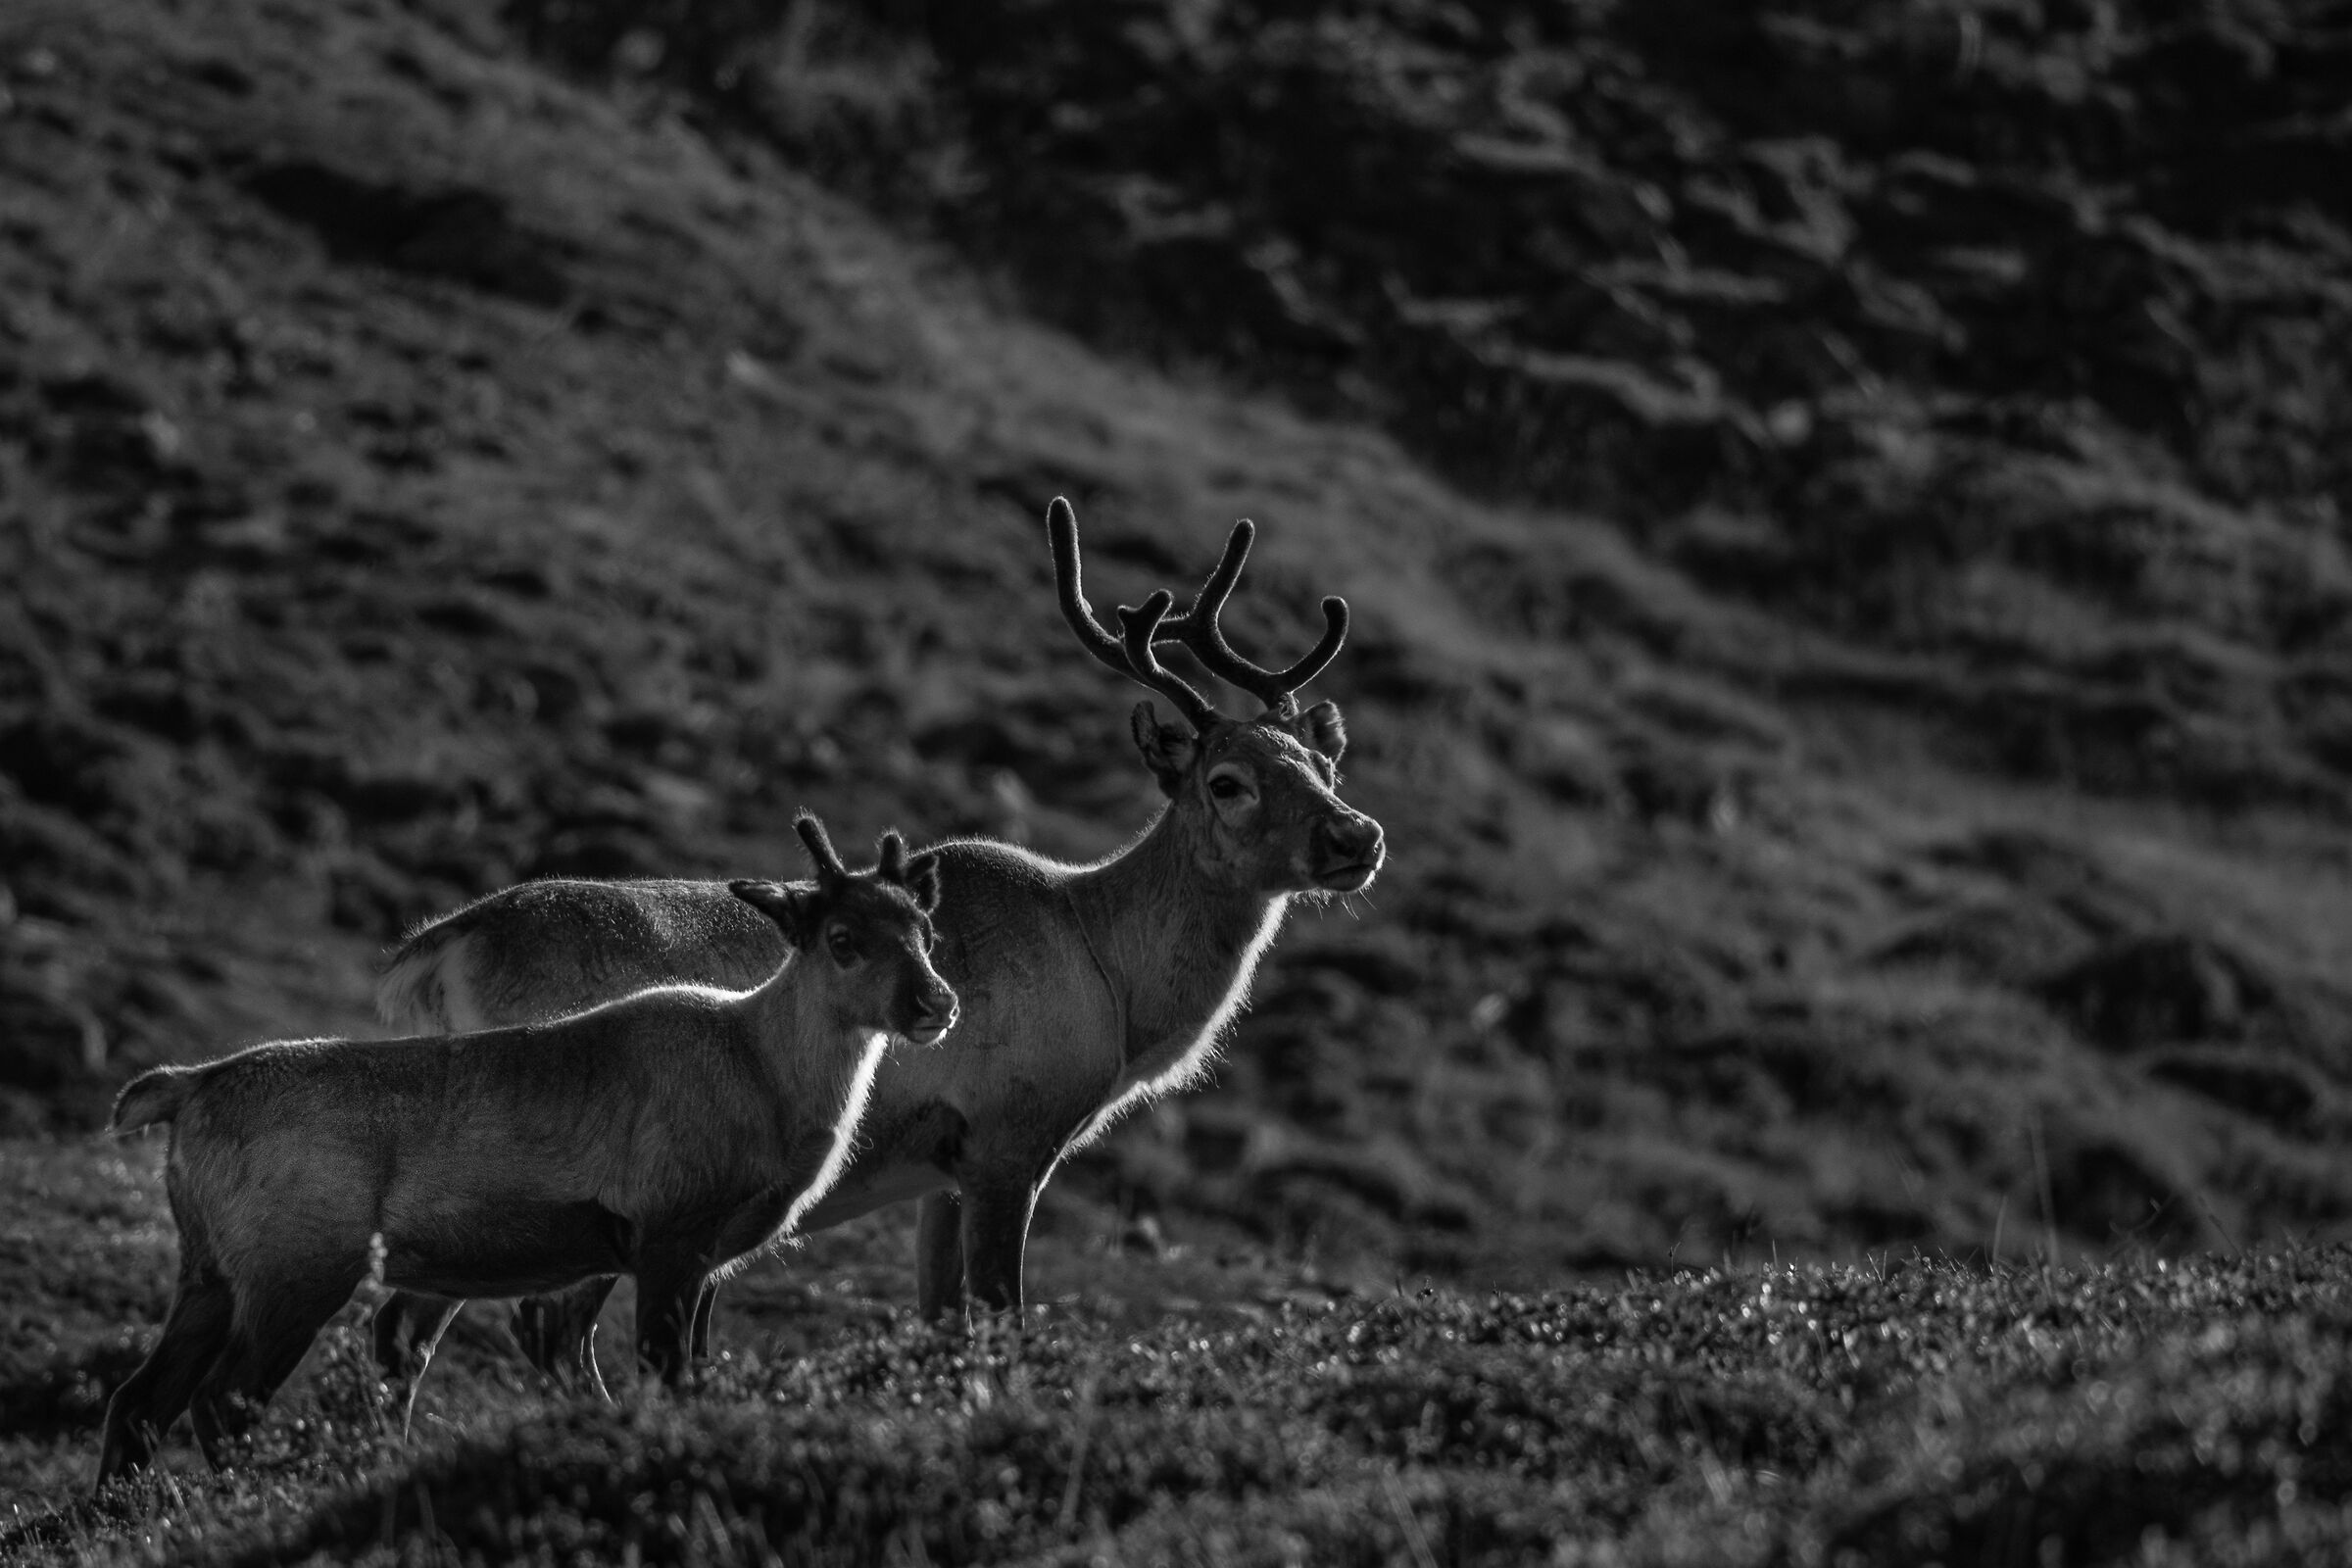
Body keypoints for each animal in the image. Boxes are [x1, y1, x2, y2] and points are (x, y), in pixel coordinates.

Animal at [93, 816, 952, 1488]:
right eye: (842, 939)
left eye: (923, 930)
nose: (936, 1002)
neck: (762, 1068)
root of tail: (189, 1086)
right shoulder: (670, 1244)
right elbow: (666, 1380)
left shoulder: (702, 1258)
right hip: (294, 1274)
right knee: (219, 1404)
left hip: (209, 1273)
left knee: (140, 1400)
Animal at [368, 496, 1385, 1385]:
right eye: (1226, 780)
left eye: (1324, 763)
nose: (1357, 837)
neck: (1111, 975)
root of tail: (433, 953)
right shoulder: (1011, 1144)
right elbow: (1004, 1321)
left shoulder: (940, 1174)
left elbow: (941, 1326)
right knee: (534, 1332)